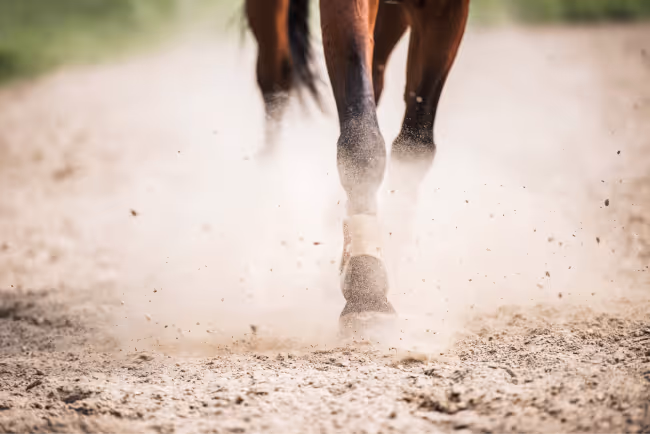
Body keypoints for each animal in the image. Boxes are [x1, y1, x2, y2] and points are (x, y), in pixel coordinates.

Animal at [245, 0, 470, 330]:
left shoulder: (446, 11)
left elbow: (415, 144)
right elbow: (362, 141)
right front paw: (367, 291)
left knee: (375, 74)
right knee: (276, 81)